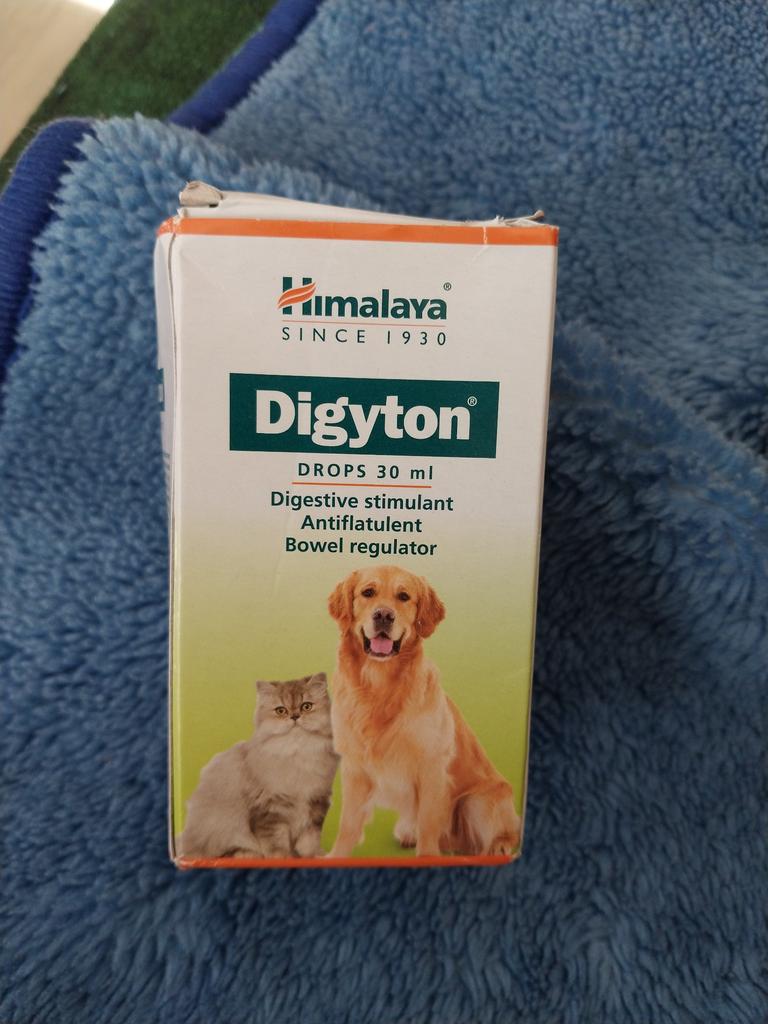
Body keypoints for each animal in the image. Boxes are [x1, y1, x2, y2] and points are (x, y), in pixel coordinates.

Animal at [177, 673, 339, 859]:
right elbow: (276, 843)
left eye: (306, 706)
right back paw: (246, 854)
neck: (298, 754)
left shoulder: (316, 803)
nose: (295, 716)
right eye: (281, 711)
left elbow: (309, 840)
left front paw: (313, 856)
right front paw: (282, 858)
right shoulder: (269, 809)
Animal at [327, 565, 521, 857]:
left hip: (476, 800)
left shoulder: (432, 765)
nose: (383, 615)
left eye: (404, 596)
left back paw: (496, 847)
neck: (379, 687)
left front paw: (427, 856)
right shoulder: (355, 766)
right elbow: (348, 822)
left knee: (505, 833)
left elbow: (429, 819)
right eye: (368, 592)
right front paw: (337, 855)